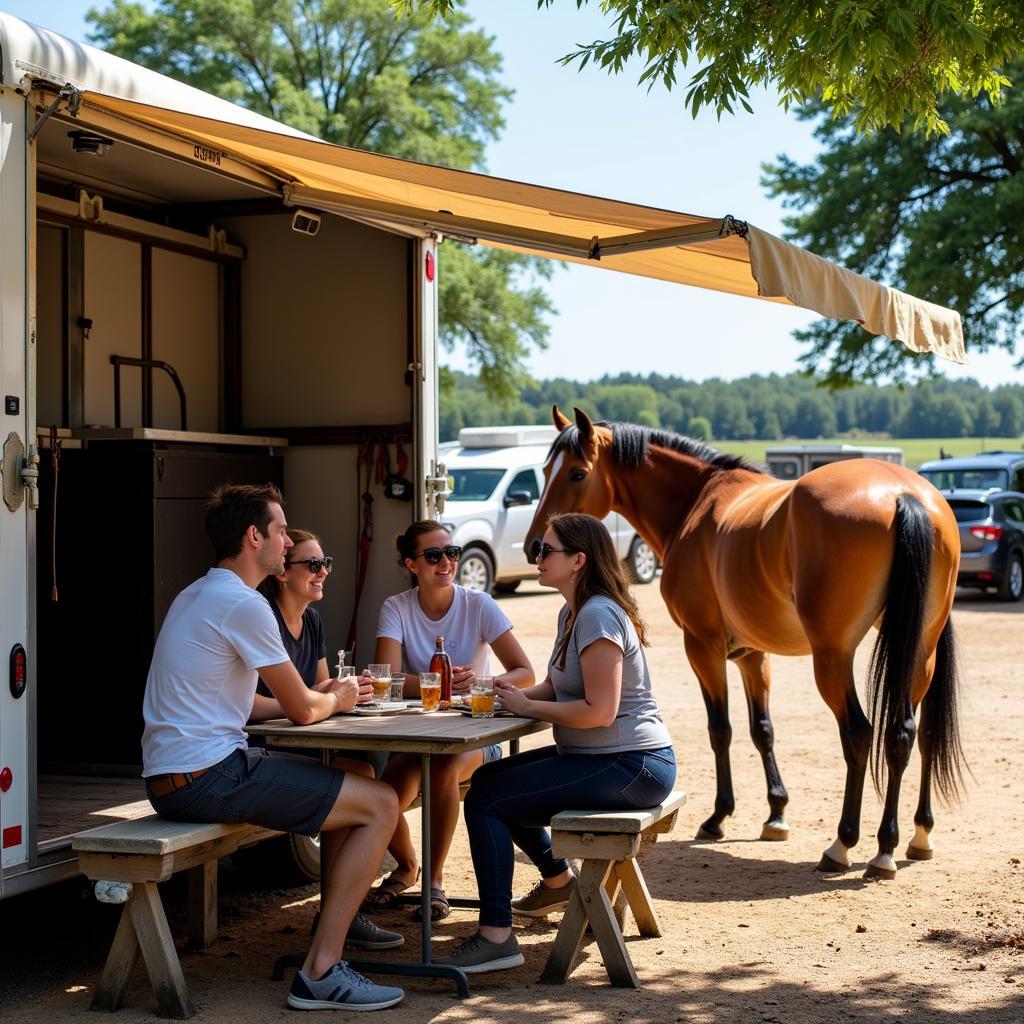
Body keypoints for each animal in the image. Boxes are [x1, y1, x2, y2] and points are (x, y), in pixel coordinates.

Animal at [528, 407, 966, 880]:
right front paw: (776, 814)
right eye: (544, 471)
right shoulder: (753, 655)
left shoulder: (703, 647)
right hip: (918, 653)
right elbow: (763, 730)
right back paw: (910, 838)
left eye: (577, 472)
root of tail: (903, 494)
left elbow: (721, 729)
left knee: (859, 734)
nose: (535, 545)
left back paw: (846, 844)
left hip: (833, 657)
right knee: (910, 733)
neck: (696, 502)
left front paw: (719, 817)